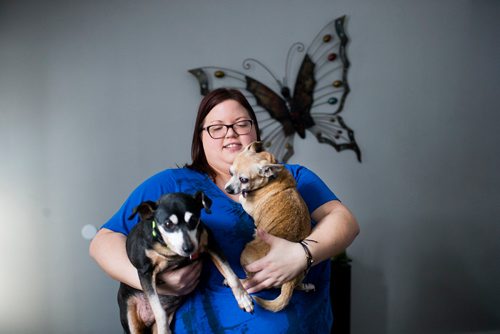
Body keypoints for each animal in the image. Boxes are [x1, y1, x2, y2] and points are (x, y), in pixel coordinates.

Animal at [118, 190, 254, 334]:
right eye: (168, 224)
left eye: (193, 220)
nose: (189, 248)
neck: (170, 249)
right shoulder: (145, 271)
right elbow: (159, 311)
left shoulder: (211, 245)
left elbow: (232, 275)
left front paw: (243, 298)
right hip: (130, 318)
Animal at [226, 140, 314, 310]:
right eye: (230, 172)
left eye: (244, 180)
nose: (227, 189)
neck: (272, 177)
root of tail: (290, 279)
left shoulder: (247, 204)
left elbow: (242, 198)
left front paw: (241, 195)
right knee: (293, 287)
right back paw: (306, 286)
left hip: (245, 253)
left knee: (251, 280)